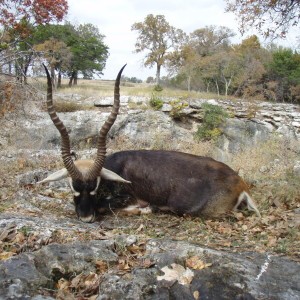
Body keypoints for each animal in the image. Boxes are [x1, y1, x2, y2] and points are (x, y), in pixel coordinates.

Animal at [39, 64, 260, 221]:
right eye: (73, 187)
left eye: (94, 188)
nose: (86, 217)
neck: (117, 167)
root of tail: (240, 182)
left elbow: (109, 206)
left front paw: (144, 209)